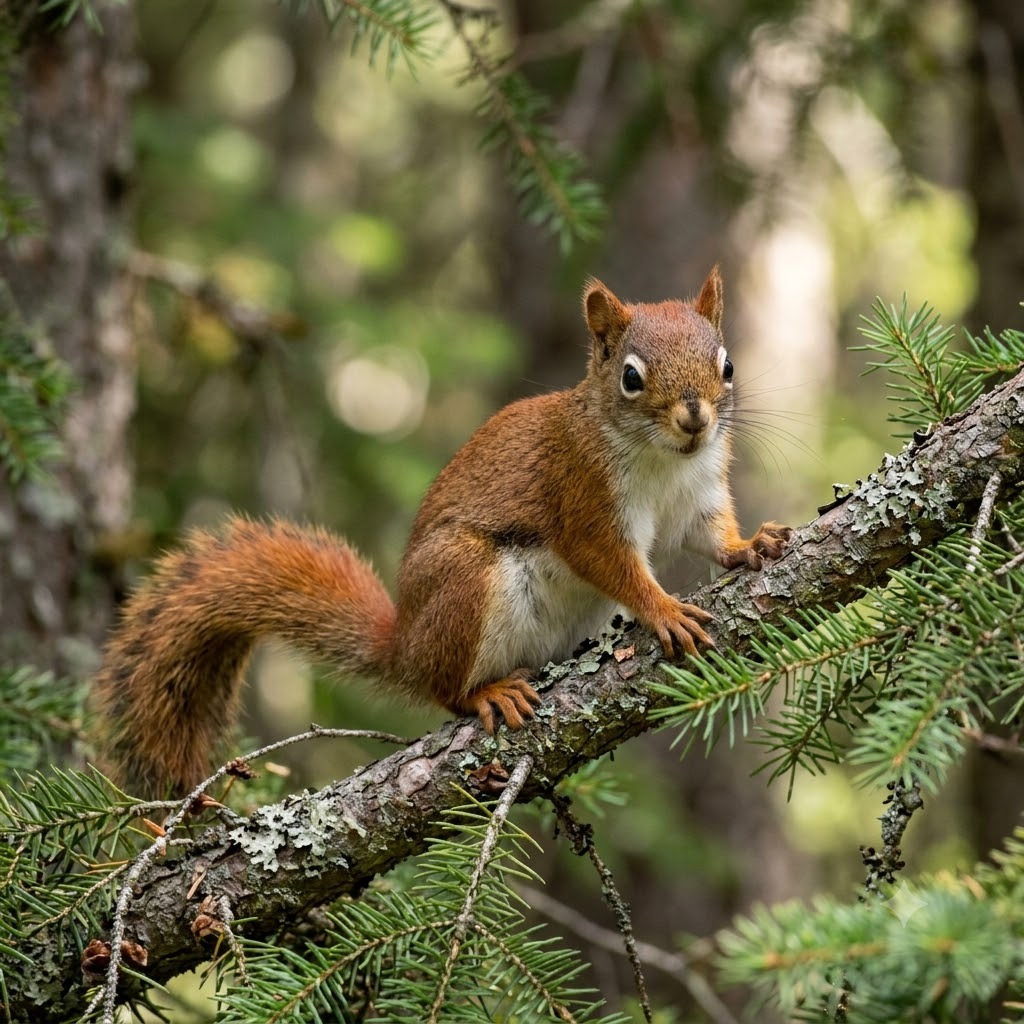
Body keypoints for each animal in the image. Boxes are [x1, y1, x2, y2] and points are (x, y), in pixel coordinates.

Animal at [93, 266, 791, 797]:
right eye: (631, 376)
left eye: (727, 365)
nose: (695, 419)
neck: (664, 462)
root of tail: (404, 642)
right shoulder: (582, 496)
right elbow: (611, 562)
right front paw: (664, 608)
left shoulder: (698, 495)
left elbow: (711, 536)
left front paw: (751, 545)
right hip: (466, 582)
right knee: (444, 689)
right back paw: (490, 694)